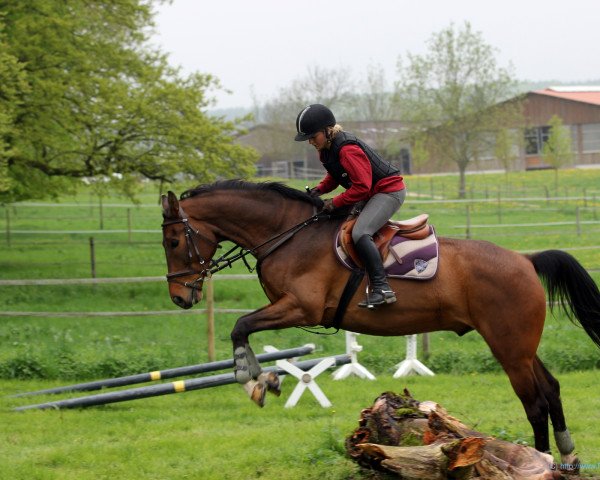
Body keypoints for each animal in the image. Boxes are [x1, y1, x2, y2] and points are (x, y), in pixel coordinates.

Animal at [161, 178, 600, 464]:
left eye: (174, 241)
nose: (180, 297)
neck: (287, 234)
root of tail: (526, 260)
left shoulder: (300, 307)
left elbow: (241, 326)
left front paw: (252, 379)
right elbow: (246, 329)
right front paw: (265, 379)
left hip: (508, 347)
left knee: (535, 401)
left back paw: (540, 460)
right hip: (519, 347)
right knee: (551, 389)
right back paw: (565, 455)